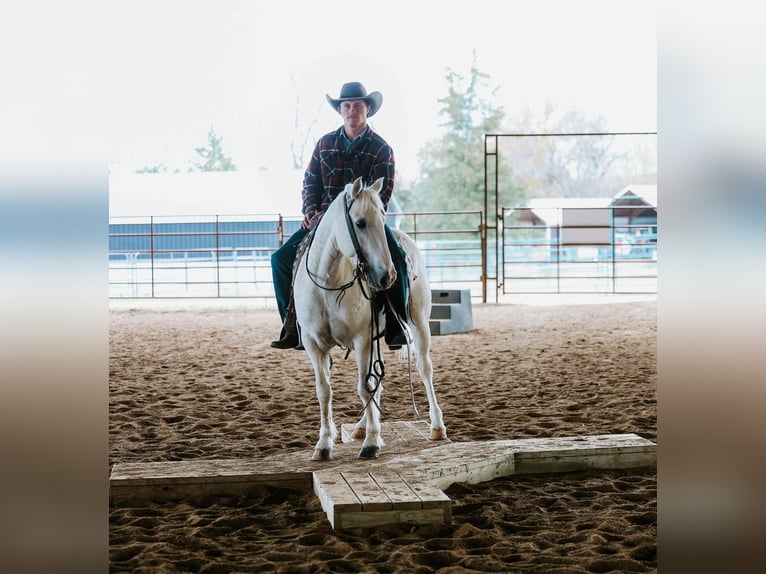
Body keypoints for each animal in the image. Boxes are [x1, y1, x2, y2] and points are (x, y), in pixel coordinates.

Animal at [293, 176, 447, 461]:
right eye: (360, 222)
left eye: (382, 217)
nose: (387, 276)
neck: (329, 283)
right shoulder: (313, 344)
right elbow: (324, 391)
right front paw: (324, 444)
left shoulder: (362, 338)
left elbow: (363, 387)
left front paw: (372, 443)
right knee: (376, 381)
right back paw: (361, 427)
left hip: (419, 323)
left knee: (424, 368)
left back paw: (437, 426)